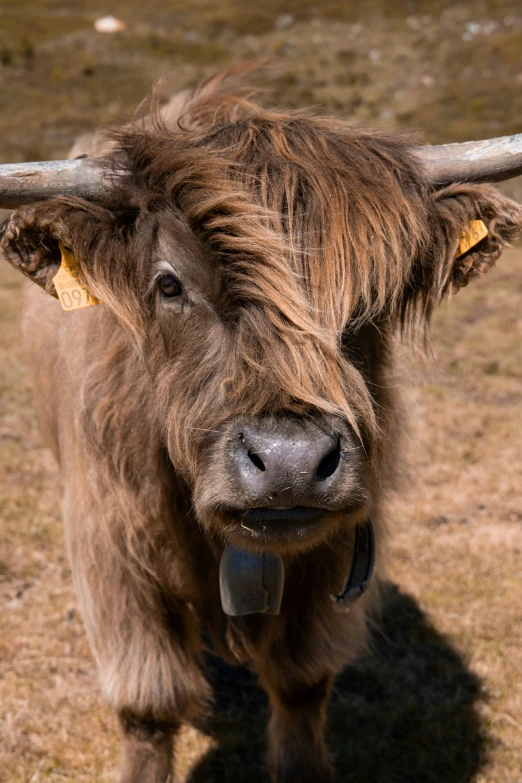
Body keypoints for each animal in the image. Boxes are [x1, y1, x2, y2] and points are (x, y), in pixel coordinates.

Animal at [1, 69, 520, 783]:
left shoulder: (333, 560)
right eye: (169, 284)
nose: (289, 463)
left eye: (376, 295)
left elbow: (301, 689)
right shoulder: (110, 552)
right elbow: (148, 709)